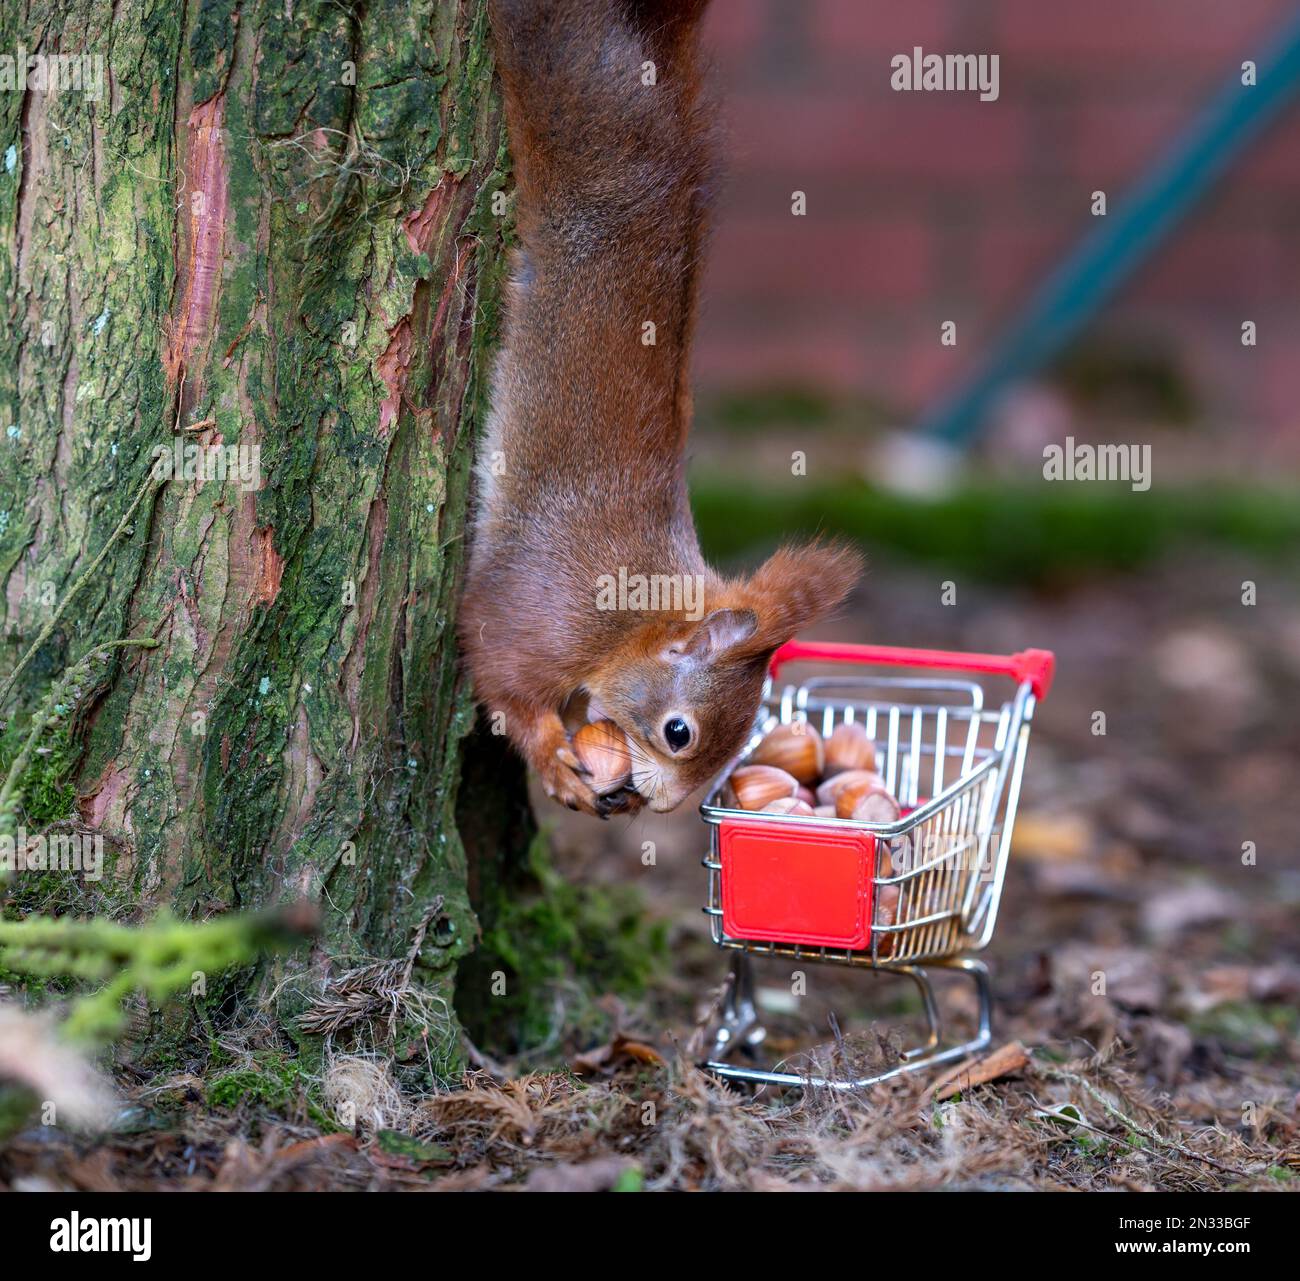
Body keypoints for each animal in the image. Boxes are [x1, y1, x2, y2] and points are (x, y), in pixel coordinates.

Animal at [460, 0, 863, 816]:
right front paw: (554, 761)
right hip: (563, 79)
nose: (666, 807)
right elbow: (500, 679)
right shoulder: (536, 615)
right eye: (680, 733)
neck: (630, 621)